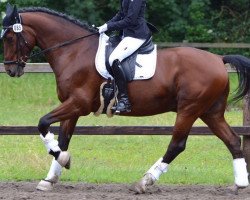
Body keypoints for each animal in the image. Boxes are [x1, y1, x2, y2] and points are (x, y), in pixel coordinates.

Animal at [1, 3, 250, 194]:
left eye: (10, 37)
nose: (11, 70)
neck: (74, 51)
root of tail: (218, 59)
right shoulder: (71, 106)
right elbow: (63, 140)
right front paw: (51, 176)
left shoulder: (78, 104)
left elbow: (42, 123)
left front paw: (63, 160)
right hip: (210, 111)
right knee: (232, 140)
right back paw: (241, 183)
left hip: (189, 109)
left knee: (177, 144)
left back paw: (144, 182)